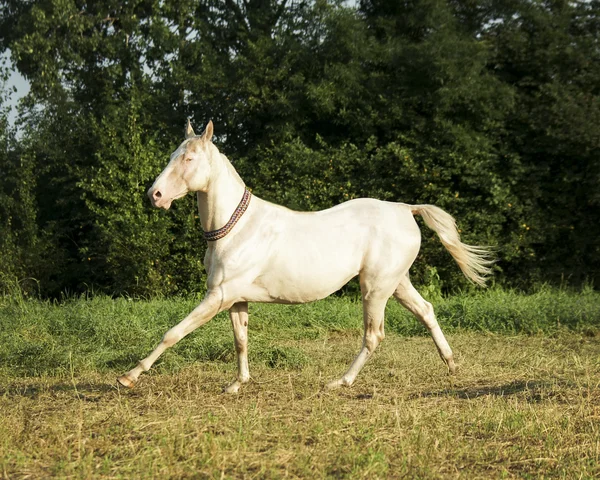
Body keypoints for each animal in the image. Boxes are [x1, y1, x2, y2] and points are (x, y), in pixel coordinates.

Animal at [117, 121, 492, 394]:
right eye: (173, 154)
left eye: (189, 159)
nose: (155, 195)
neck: (236, 230)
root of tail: (404, 209)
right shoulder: (236, 300)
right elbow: (240, 341)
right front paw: (237, 385)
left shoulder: (218, 296)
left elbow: (174, 332)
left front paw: (130, 376)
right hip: (396, 283)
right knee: (426, 311)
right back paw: (451, 364)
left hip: (375, 289)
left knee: (374, 336)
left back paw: (340, 382)